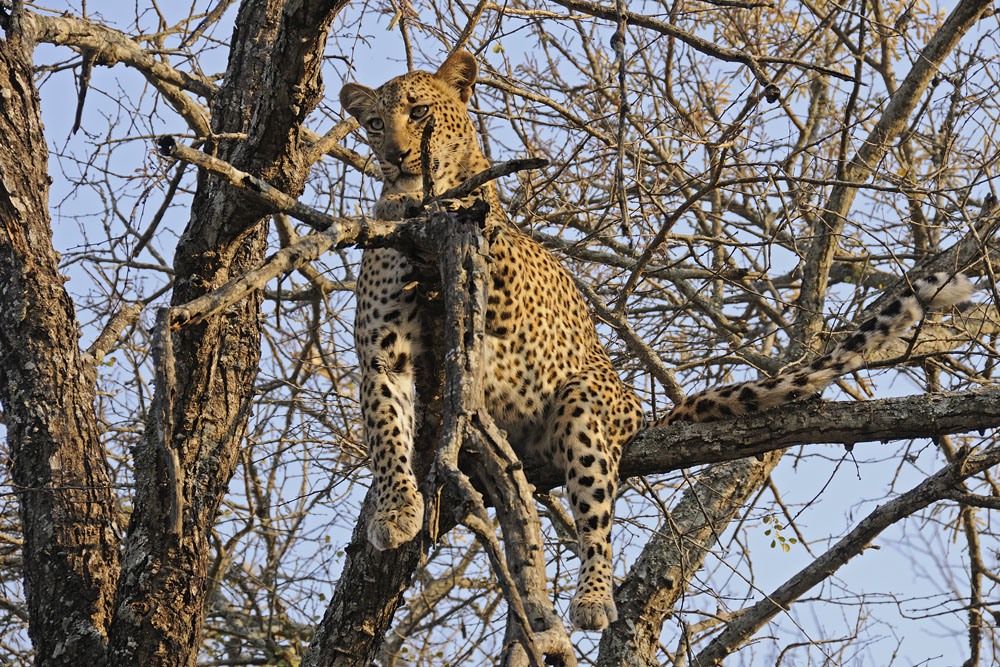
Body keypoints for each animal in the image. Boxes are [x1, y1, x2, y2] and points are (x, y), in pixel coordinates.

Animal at [339, 50, 974, 631]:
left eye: (420, 112)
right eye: (372, 124)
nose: (396, 158)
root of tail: (641, 410)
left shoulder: (490, 280)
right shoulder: (383, 352)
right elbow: (386, 433)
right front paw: (394, 510)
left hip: (583, 402)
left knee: (596, 509)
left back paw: (595, 598)